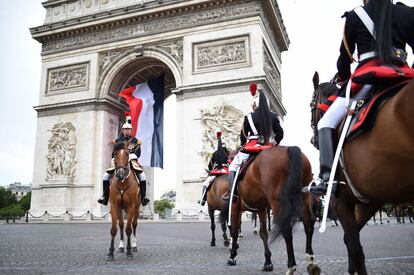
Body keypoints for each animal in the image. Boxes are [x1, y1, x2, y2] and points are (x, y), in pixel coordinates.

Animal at [226, 146, 320, 274]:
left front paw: (232, 256)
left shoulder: (235, 208)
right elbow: (263, 233)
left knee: (287, 229)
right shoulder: (261, 209)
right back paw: (311, 261)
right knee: (308, 222)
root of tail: (289, 149)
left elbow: (234, 231)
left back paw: (291, 267)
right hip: (304, 197)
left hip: (277, 202)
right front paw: (268, 262)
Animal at [310, 72, 414, 274]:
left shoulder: (340, 201)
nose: (313, 140)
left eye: (311, 105)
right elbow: (351, 240)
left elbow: (355, 246)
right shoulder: (369, 200)